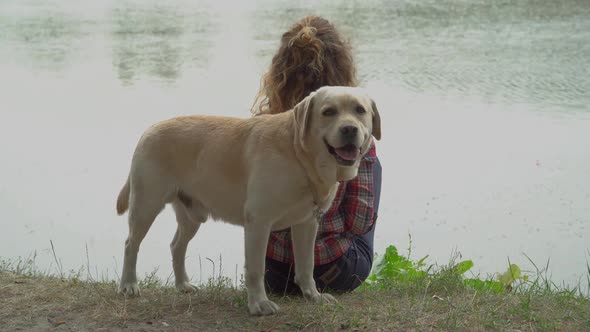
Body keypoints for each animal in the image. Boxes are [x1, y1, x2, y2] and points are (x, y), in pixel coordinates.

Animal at [115, 84, 384, 316]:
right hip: (146, 205)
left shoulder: (307, 223)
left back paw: (183, 285)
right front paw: (259, 304)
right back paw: (129, 285)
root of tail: (150, 128)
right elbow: (255, 269)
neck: (300, 156)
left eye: (360, 110)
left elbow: (306, 265)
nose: (349, 129)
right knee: (130, 244)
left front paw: (313, 295)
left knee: (176, 246)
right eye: (329, 112)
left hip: (191, 216)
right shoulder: (259, 221)